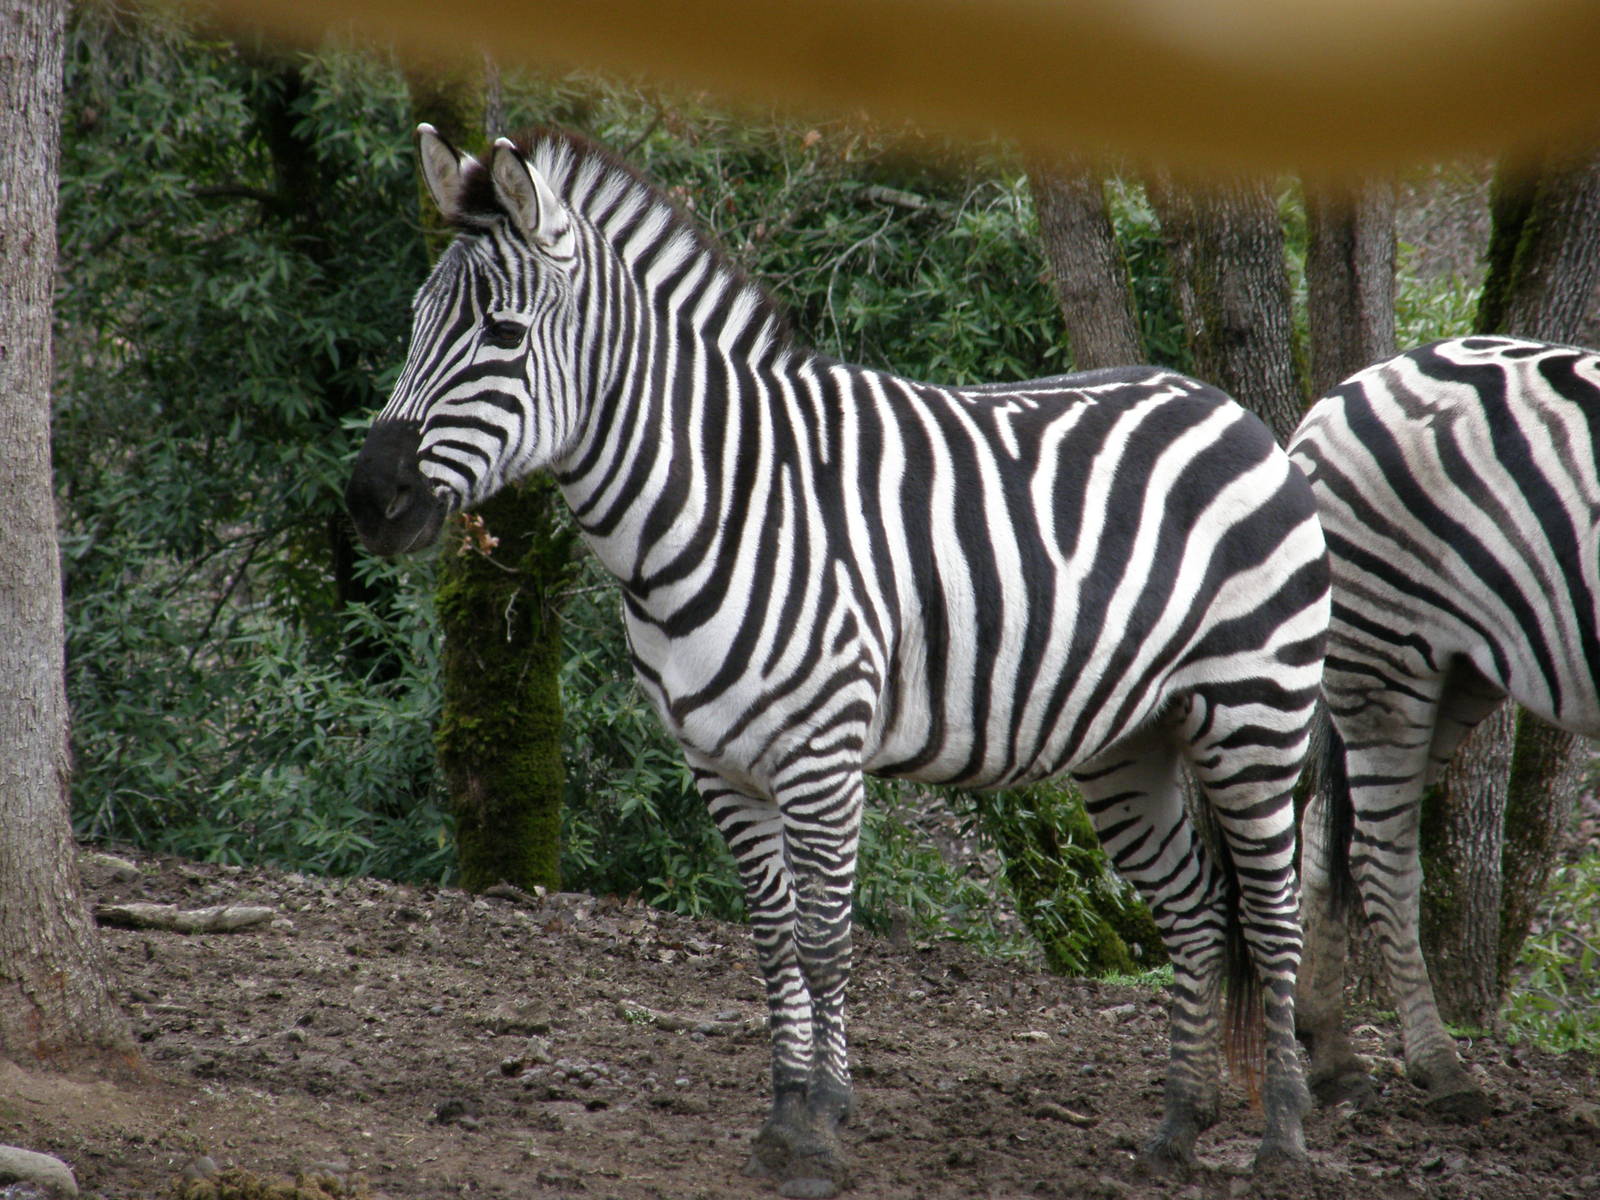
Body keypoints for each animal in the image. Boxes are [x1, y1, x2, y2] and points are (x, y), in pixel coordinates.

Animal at [345, 125, 1330, 1193]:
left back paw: (1283, 1139)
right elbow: (773, 940)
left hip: (1257, 714)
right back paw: (1178, 1129)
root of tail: (1229, 409)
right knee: (1195, 912)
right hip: (1131, 741)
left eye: (503, 335)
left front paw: (819, 1130)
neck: (719, 502)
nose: (368, 501)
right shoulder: (720, 765)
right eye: (414, 322)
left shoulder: (822, 756)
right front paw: (784, 1116)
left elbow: (823, 944)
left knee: (1273, 916)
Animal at [1289, 335, 1600, 1120]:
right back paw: (1439, 1066)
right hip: (1385, 648)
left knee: (1323, 824)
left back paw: (1330, 1050)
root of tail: (1365, 375)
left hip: (1460, 670)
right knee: (1381, 855)